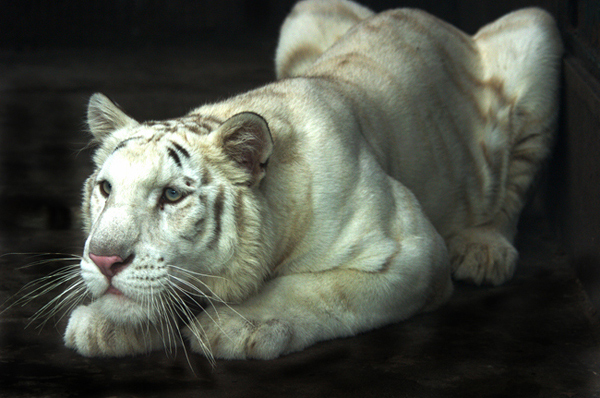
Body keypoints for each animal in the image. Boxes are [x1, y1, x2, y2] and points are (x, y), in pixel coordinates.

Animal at [62, 0, 564, 360]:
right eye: (105, 189)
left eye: (170, 195)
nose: (103, 260)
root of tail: (434, 18)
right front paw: (104, 322)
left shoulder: (411, 251)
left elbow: (314, 288)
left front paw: (237, 325)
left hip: (537, 29)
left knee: (515, 189)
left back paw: (483, 251)